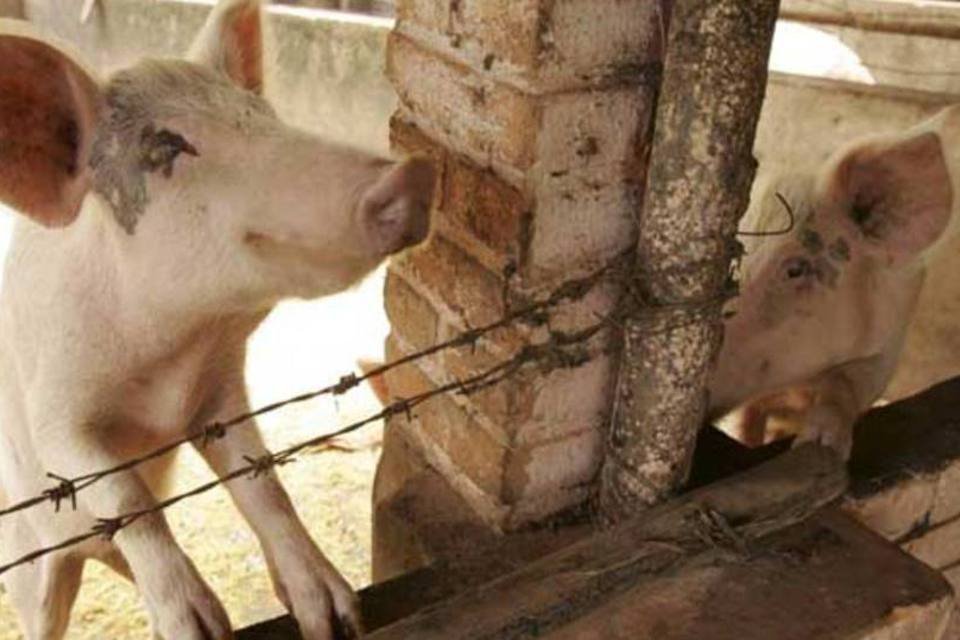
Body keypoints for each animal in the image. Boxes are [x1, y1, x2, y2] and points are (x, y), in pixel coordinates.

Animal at [0, 1, 436, 640]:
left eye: (262, 116)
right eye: (169, 147)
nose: (414, 173)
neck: (171, 361)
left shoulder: (219, 395)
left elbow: (263, 483)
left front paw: (337, 617)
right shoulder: (55, 416)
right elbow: (128, 498)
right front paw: (200, 630)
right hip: (28, 558)